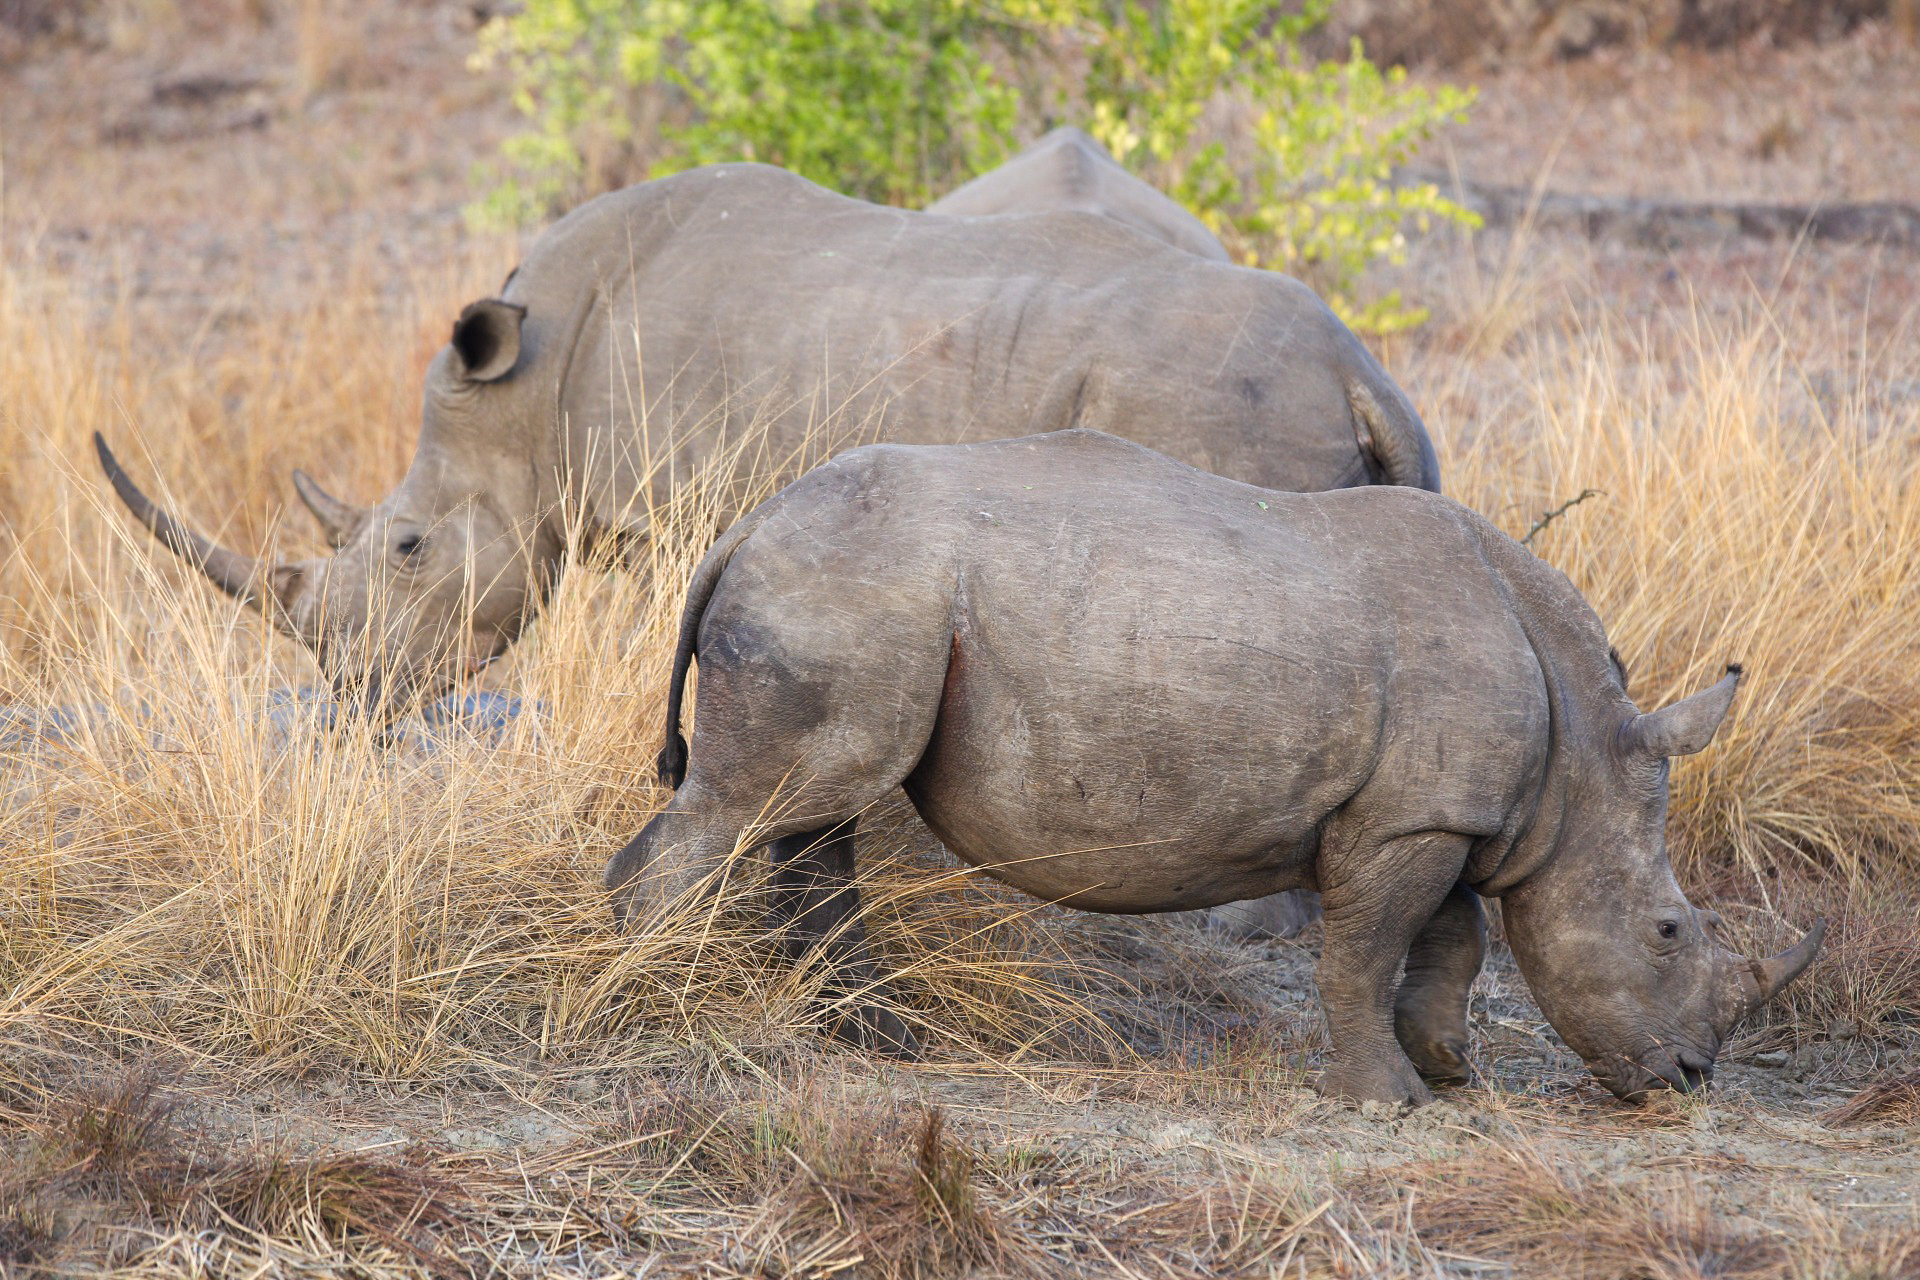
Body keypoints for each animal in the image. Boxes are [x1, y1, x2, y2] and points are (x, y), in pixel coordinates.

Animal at [97, 162, 1437, 722]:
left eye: (410, 546)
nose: (355, 698)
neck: (527, 389)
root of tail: (1360, 372)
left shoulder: (666, 508)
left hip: (1220, 401)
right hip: (1314, 405)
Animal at [604, 429, 1823, 1106]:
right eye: (1669, 931)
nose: (1690, 1080)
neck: (1583, 752)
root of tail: (750, 525)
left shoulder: (1440, 810)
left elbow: (1452, 939)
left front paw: (1447, 1069)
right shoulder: (1415, 818)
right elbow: (1367, 949)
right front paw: (1387, 1103)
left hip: (852, 593)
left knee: (814, 814)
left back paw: (880, 1043)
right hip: (848, 586)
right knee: (756, 808)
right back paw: (643, 1006)